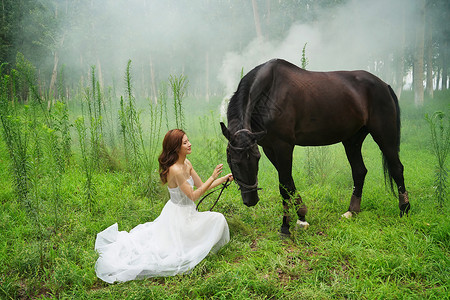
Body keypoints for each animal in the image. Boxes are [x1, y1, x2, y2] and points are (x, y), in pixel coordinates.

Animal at [220, 58, 410, 236]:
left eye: (256, 159)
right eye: (234, 162)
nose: (251, 200)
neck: (269, 92)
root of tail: (384, 85)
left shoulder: (283, 146)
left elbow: (284, 185)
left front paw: (286, 226)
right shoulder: (270, 148)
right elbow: (289, 182)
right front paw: (302, 216)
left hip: (384, 135)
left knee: (396, 168)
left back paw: (404, 209)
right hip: (352, 140)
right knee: (359, 171)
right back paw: (351, 211)